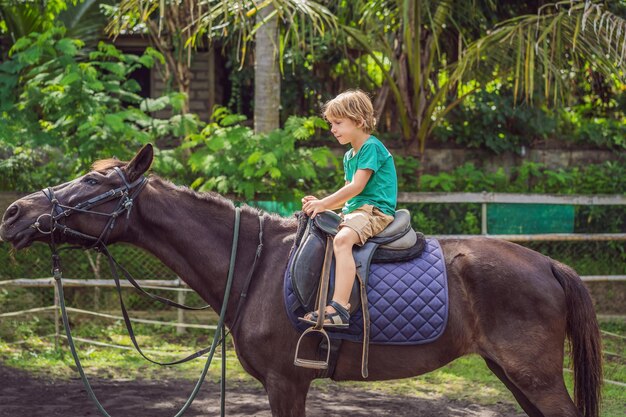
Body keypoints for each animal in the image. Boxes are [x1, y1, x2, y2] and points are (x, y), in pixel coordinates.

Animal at [2, 144, 604, 416]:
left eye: (92, 183)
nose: (13, 213)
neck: (257, 266)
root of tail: (551, 265)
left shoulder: (287, 381)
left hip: (535, 377)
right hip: (514, 375)